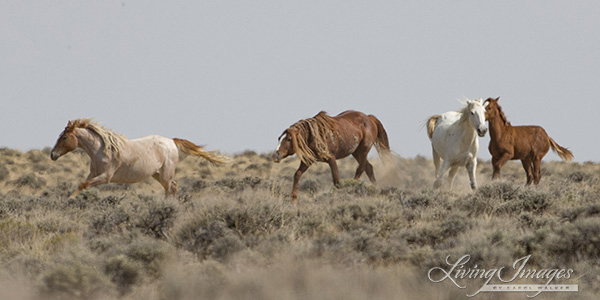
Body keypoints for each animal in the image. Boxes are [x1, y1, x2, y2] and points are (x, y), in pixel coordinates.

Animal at [48, 118, 227, 198]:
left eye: (65, 137)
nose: (52, 155)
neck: (101, 150)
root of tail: (172, 142)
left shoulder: (105, 177)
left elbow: (83, 185)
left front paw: (69, 200)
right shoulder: (93, 174)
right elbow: (81, 185)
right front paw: (70, 199)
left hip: (165, 174)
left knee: (170, 188)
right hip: (157, 174)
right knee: (173, 186)